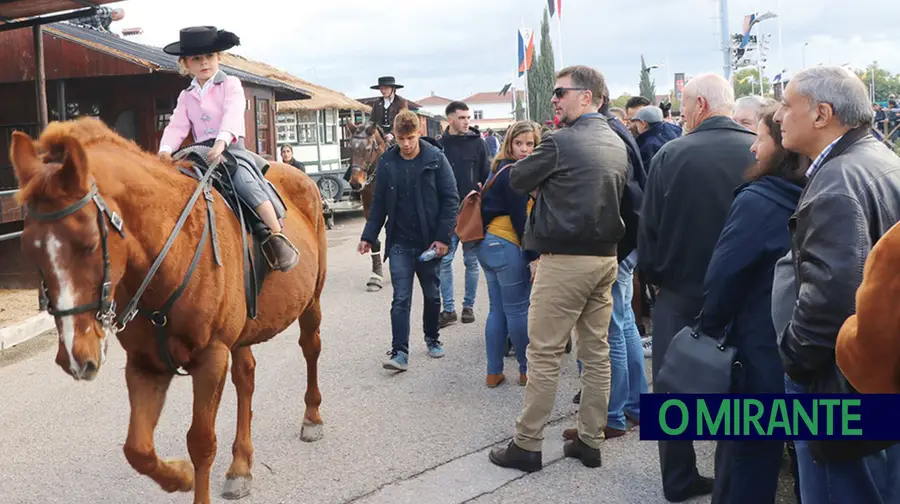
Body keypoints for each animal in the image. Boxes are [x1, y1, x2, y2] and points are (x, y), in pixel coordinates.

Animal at [8, 118, 326, 504]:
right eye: (30, 250)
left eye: (89, 243)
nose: (74, 355)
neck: (168, 255)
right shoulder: (145, 364)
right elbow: (138, 450)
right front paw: (180, 477)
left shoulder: (211, 357)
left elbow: (201, 442)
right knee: (246, 377)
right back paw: (240, 466)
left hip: (311, 302)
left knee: (310, 348)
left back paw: (312, 418)